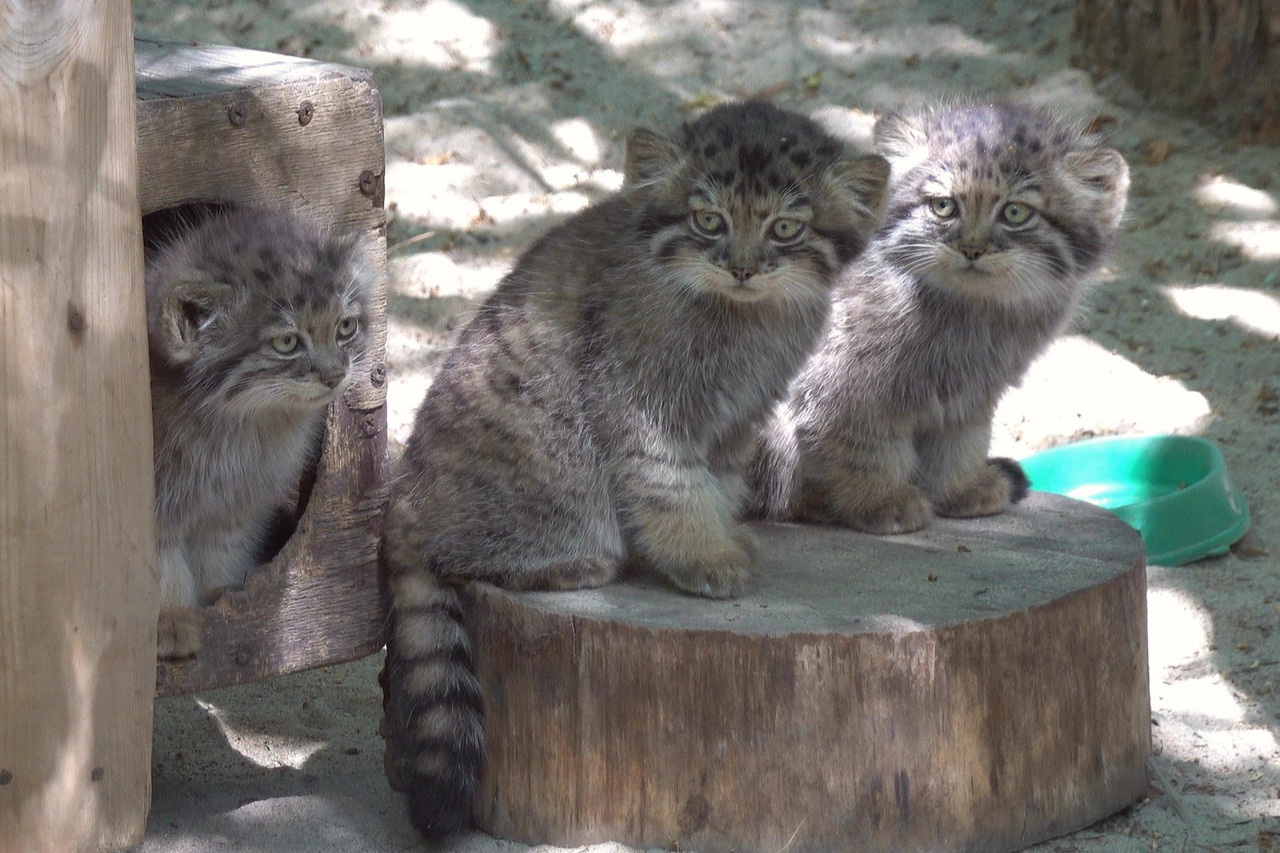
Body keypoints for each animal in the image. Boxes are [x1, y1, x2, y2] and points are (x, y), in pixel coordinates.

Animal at [149, 206, 373, 655]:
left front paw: (225, 598)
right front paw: (172, 617)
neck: (238, 428)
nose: (335, 375)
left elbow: (221, 551)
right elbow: (160, 559)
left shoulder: (238, 503)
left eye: (345, 327)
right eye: (286, 342)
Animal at [747, 101, 1131, 532]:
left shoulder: (970, 393)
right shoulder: (844, 384)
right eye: (944, 206)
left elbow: (960, 443)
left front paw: (958, 489)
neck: (969, 312)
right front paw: (881, 500)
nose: (972, 249)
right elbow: (862, 445)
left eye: (1015, 212)